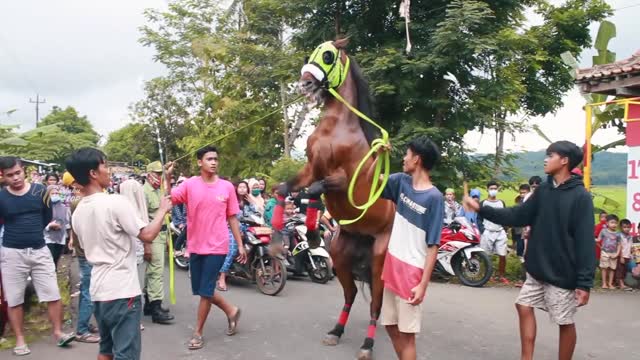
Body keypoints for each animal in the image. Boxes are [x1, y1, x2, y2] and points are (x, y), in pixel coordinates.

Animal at [274, 38, 396, 358]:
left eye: (328, 55)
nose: (305, 83)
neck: (337, 128)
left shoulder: (342, 180)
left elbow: (314, 192)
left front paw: (312, 234)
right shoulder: (309, 169)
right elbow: (284, 190)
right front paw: (284, 234)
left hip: (379, 259)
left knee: (376, 304)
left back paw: (367, 345)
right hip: (341, 257)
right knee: (350, 295)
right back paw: (336, 331)